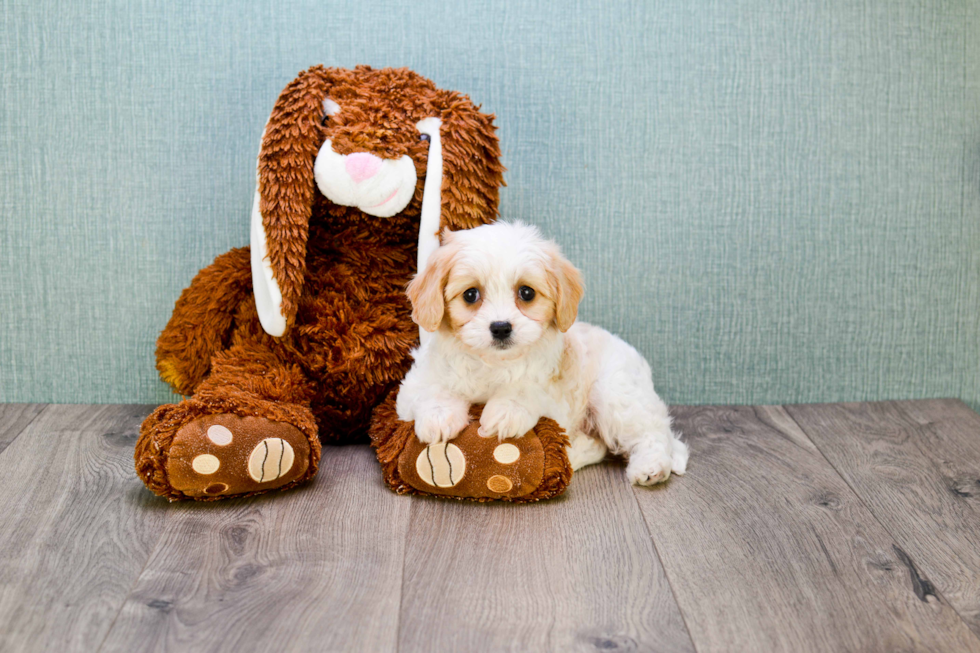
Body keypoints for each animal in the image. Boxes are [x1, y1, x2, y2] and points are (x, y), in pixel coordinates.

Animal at [394, 222, 684, 482]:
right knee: (600, 443)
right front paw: (438, 416)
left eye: (526, 293)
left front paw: (506, 411)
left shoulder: (554, 394)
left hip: (616, 394)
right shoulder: (411, 391)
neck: (493, 364)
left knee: (651, 433)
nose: (501, 327)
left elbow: (526, 388)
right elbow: (433, 388)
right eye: (470, 295)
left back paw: (650, 468)